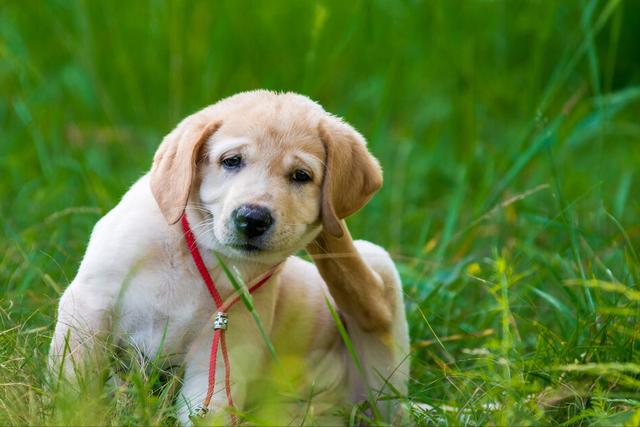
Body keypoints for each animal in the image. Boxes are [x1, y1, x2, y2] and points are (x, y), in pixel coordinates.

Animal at [50, 90, 410, 424]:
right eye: (231, 161)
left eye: (301, 175)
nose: (252, 218)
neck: (200, 253)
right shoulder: (91, 305)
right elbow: (75, 381)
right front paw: (72, 413)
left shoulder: (224, 350)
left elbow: (208, 410)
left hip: (377, 301)